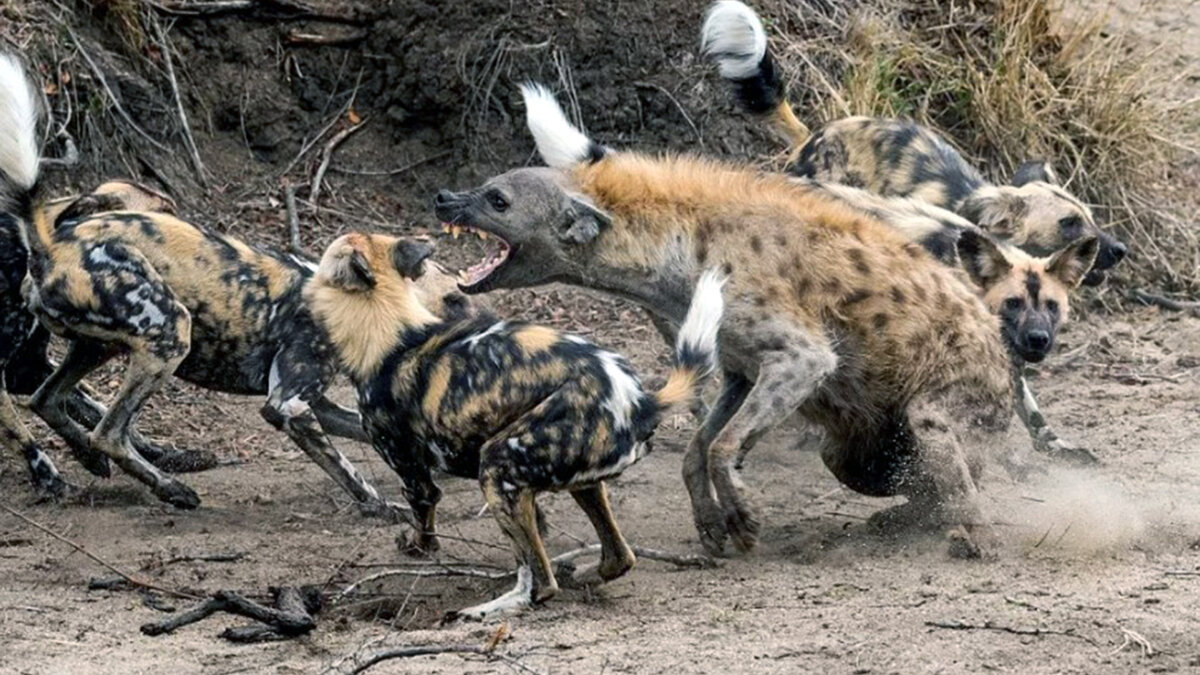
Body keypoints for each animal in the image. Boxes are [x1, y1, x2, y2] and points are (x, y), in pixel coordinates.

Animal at [0, 53, 477, 514]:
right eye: (454, 298)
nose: (480, 327)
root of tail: (48, 241)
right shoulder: (288, 407)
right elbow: (347, 470)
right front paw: (379, 506)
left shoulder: (318, 405)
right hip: (171, 333)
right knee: (108, 432)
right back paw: (171, 489)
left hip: (98, 347)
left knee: (47, 400)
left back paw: (97, 462)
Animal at [304, 233, 724, 619]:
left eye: (321, 265)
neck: (392, 328)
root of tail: (640, 400)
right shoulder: (520, 492)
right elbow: (539, 523)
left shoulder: (414, 475)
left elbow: (424, 516)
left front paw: (418, 547)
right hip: (576, 482)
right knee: (617, 557)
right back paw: (581, 574)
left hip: (495, 465)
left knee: (540, 583)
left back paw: (485, 609)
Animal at [436, 84, 1017, 557]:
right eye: (487, 186)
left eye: (497, 199)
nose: (442, 196)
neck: (679, 261)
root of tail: (999, 347)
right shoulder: (738, 366)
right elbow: (699, 444)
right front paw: (711, 523)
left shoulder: (800, 356)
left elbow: (723, 443)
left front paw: (742, 520)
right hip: (849, 445)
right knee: (876, 468)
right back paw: (901, 516)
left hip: (957, 393)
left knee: (947, 454)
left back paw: (971, 536)